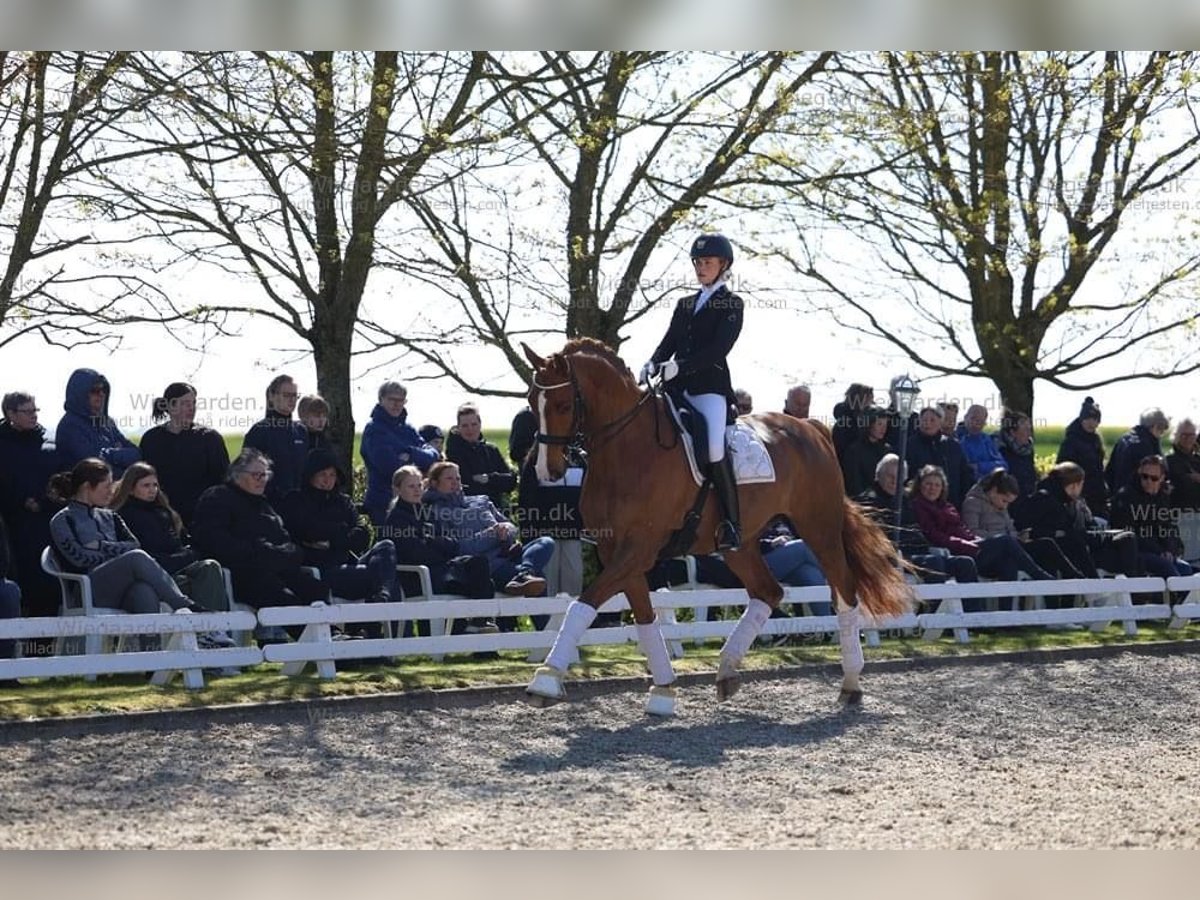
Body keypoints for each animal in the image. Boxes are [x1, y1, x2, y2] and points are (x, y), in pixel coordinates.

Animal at [523, 340, 907, 720]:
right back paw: (726, 671)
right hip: (741, 544)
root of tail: (812, 427)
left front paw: (545, 680)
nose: (546, 471)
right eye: (530, 400)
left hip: (819, 527)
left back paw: (851, 684)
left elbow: (582, 605)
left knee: (845, 592)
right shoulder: (617, 552)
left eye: (562, 404)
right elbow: (644, 617)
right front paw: (663, 692)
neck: (629, 449)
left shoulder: (638, 550)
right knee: (768, 592)